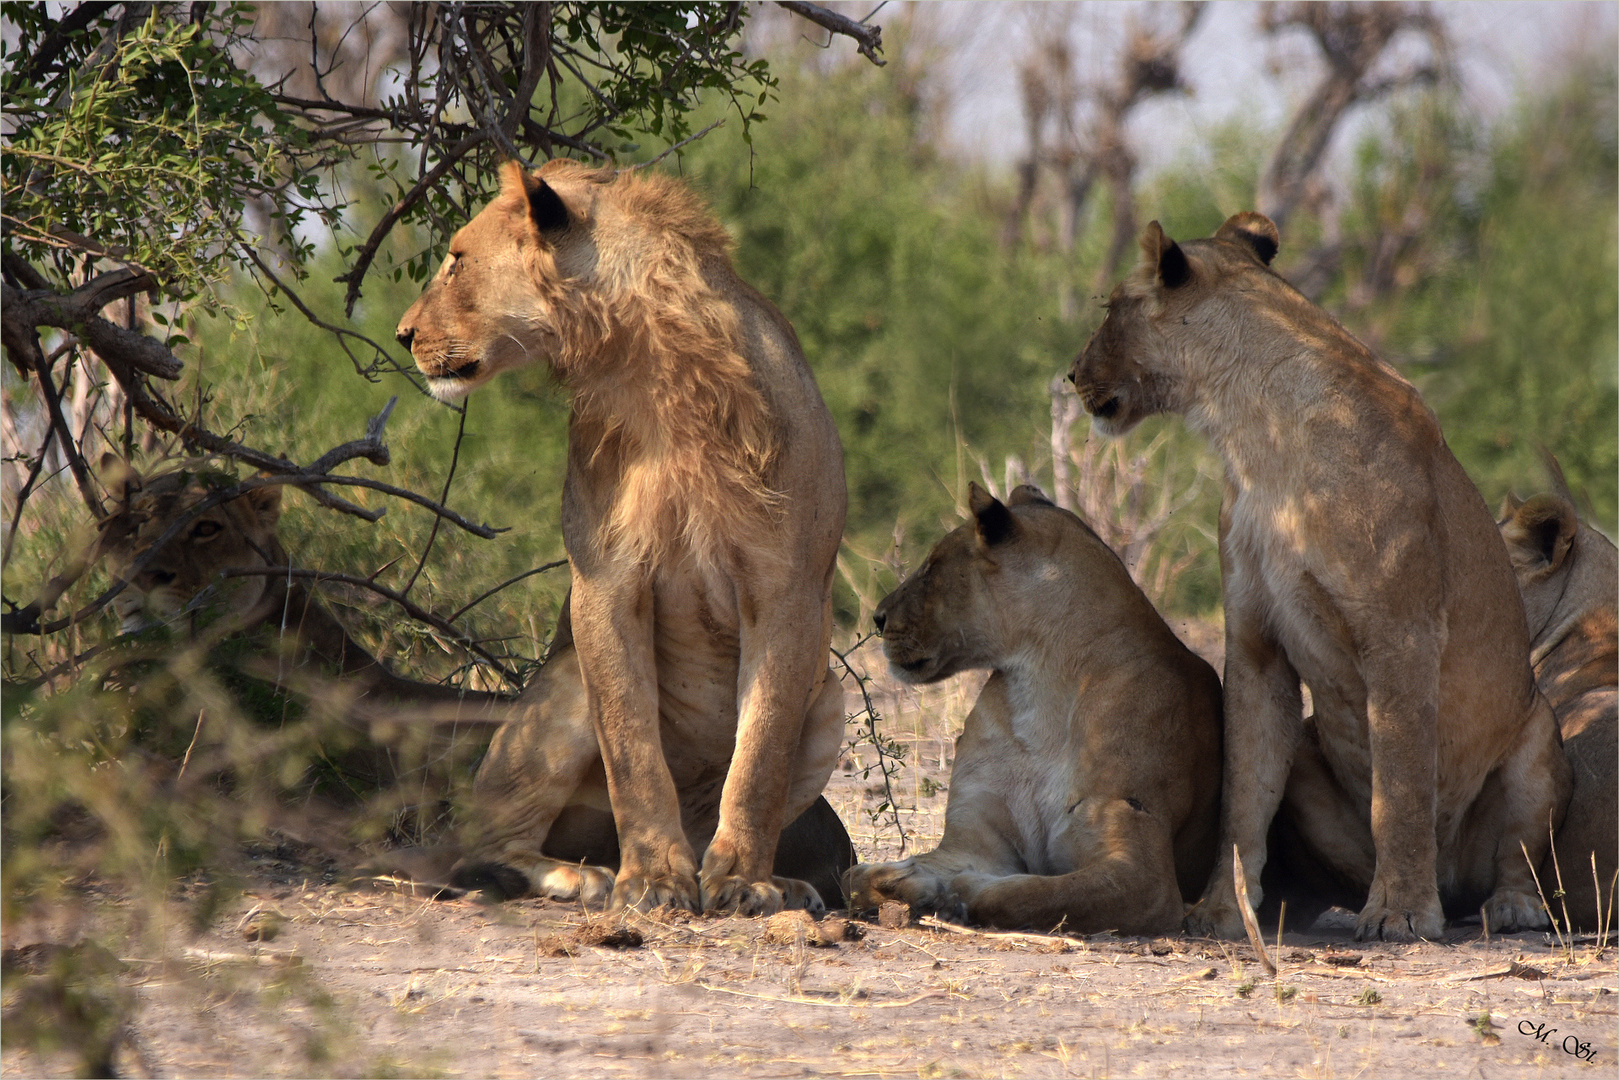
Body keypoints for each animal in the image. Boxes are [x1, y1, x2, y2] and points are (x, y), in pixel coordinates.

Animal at [395, 160, 848, 919]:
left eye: (456, 260)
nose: (401, 335)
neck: (655, 367)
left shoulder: (785, 590)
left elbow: (759, 755)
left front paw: (745, 882)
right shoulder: (606, 584)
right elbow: (634, 749)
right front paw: (653, 880)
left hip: (832, 699)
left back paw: (769, 880)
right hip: (565, 684)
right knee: (480, 842)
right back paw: (581, 876)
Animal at [841, 485, 1217, 932]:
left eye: (931, 568)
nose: (878, 618)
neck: (1038, 690)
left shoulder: (1145, 874)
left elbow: (1035, 894)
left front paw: (956, 891)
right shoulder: (974, 842)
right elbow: (854, 877)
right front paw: (907, 879)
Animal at [1068, 210, 1573, 939]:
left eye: (1110, 308)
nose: (1070, 374)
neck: (1255, 435)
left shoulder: (1401, 636)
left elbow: (1399, 787)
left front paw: (1399, 912)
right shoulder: (1255, 641)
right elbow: (1244, 790)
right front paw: (1222, 909)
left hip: (1538, 734)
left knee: (1516, 855)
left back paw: (1506, 906)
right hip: (1311, 758)